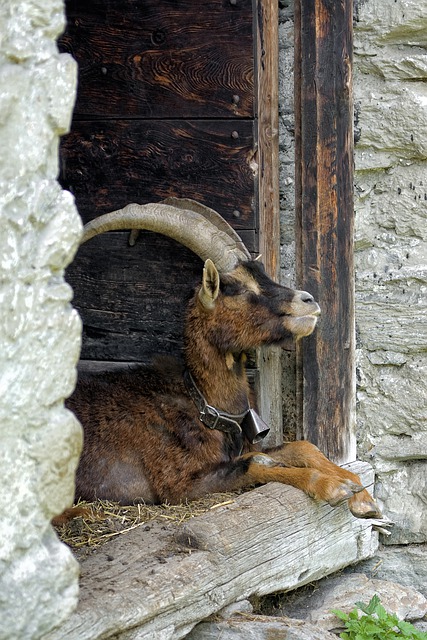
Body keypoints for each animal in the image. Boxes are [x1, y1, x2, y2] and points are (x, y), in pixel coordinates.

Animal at [66, 200, 382, 520]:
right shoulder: (178, 485)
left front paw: (362, 494)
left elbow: (301, 447)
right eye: (240, 289)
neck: (202, 404)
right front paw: (334, 486)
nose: (309, 301)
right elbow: (256, 463)